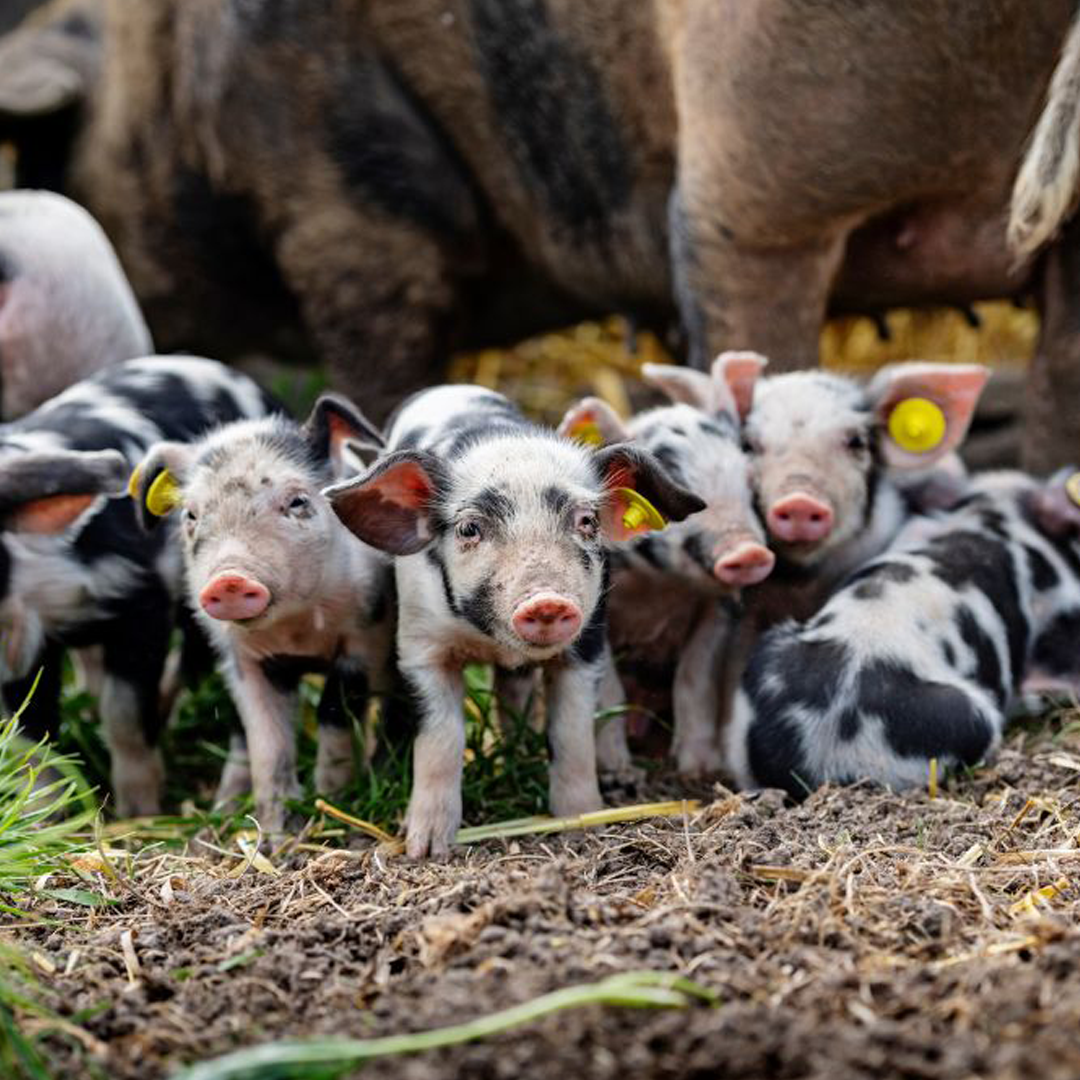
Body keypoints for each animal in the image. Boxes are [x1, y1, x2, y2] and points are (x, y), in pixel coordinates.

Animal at [131, 397, 394, 834]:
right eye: (191, 515)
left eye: (297, 502)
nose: (229, 579)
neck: (298, 636)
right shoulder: (242, 658)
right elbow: (265, 736)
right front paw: (275, 830)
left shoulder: (367, 637)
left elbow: (334, 711)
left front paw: (333, 797)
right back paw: (223, 803)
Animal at [324, 385, 705, 857]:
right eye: (470, 528)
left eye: (587, 521)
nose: (546, 599)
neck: (491, 640)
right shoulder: (421, 647)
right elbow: (441, 740)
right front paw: (425, 848)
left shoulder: (585, 648)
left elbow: (570, 734)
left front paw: (583, 827)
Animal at [558, 350, 772, 775]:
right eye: (675, 484)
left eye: (748, 478)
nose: (748, 551)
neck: (658, 586)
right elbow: (608, 685)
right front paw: (617, 768)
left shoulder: (718, 608)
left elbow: (695, 674)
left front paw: (698, 769)